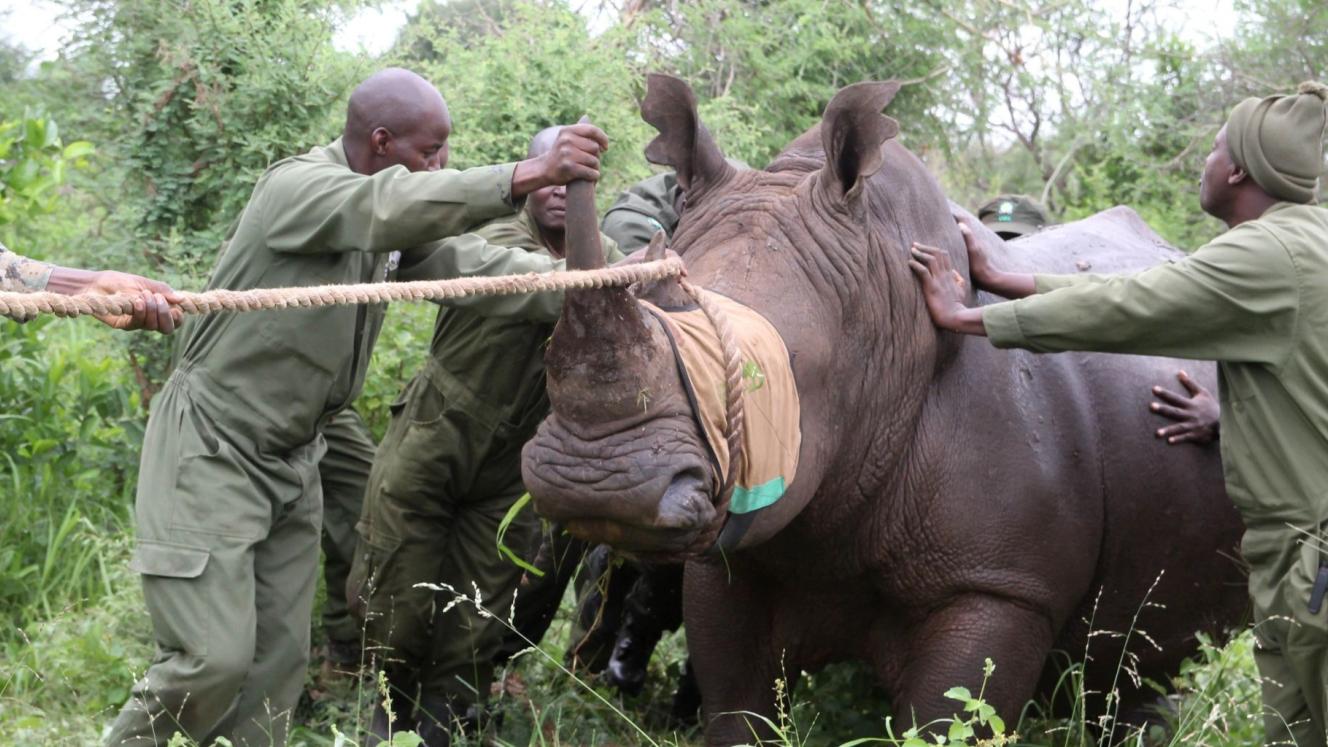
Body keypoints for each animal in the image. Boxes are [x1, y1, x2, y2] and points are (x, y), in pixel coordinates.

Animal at [521, 74, 1247, 743]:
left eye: (764, 376)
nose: (596, 482)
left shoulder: (998, 584)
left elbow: (951, 717)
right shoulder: (735, 556)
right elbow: (736, 706)